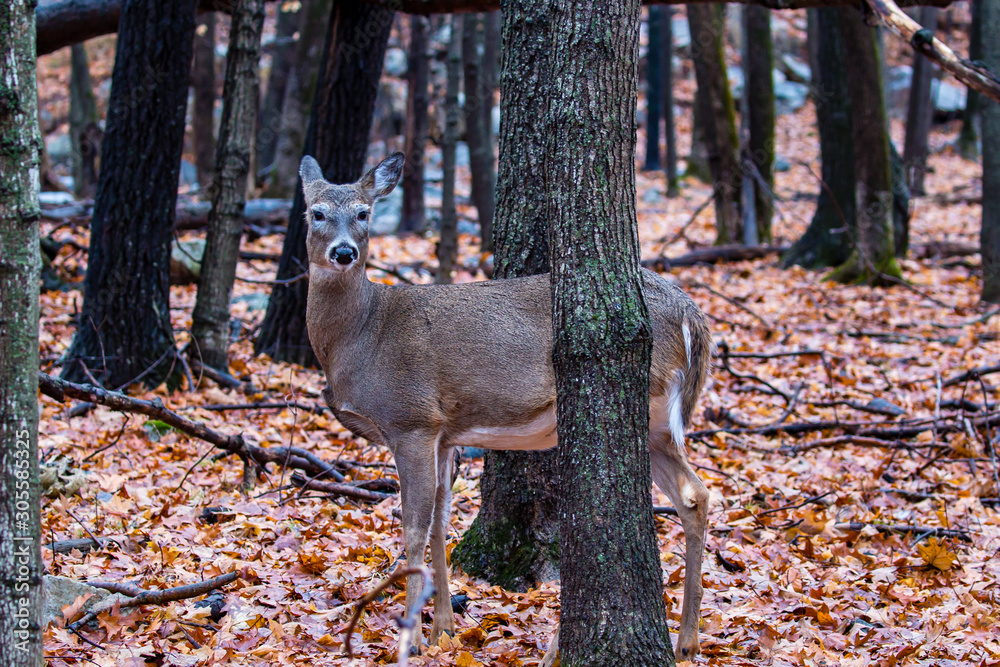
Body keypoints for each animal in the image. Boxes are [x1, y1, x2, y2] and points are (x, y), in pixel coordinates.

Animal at [300, 154, 716, 660]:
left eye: (363, 213)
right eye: (316, 212)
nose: (343, 253)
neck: (361, 336)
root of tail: (692, 313)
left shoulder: (412, 419)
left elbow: (414, 528)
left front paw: (412, 640)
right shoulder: (444, 433)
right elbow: (440, 523)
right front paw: (444, 630)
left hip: (647, 401)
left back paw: (560, 647)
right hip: (657, 425)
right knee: (695, 496)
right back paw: (686, 642)